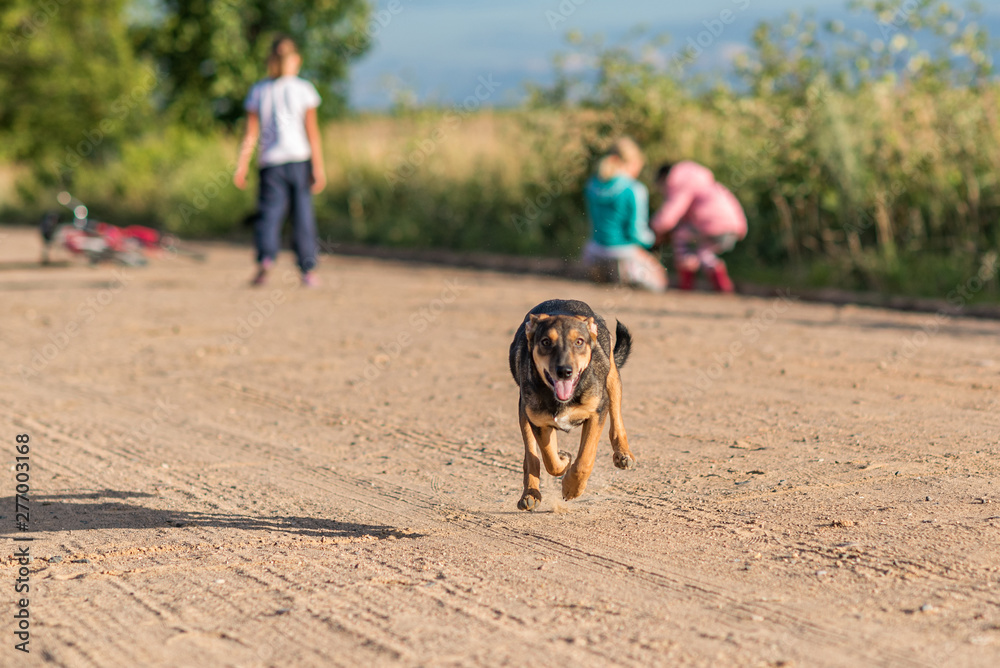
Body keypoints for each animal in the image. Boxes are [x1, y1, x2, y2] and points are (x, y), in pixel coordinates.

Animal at [508, 298, 632, 512]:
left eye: (579, 342)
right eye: (546, 342)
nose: (564, 371)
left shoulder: (597, 412)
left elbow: (585, 459)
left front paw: (571, 488)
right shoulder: (539, 422)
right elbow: (550, 459)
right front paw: (564, 459)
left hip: (612, 377)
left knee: (616, 417)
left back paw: (623, 453)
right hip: (524, 411)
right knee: (531, 456)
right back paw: (530, 494)